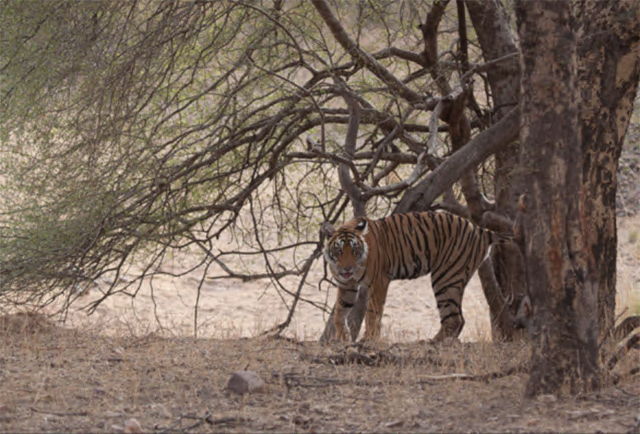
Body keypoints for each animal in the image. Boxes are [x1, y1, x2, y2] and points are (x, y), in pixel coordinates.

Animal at [322, 210, 512, 342]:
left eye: (354, 250)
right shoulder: (347, 285)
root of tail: (480, 229)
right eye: (339, 250)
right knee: (459, 318)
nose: (347, 268)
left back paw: (431, 342)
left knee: (454, 318)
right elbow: (339, 312)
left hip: (445, 277)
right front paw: (342, 338)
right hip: (456, 277)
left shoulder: (379, 282)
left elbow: (372, 313)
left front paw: (369, 339)